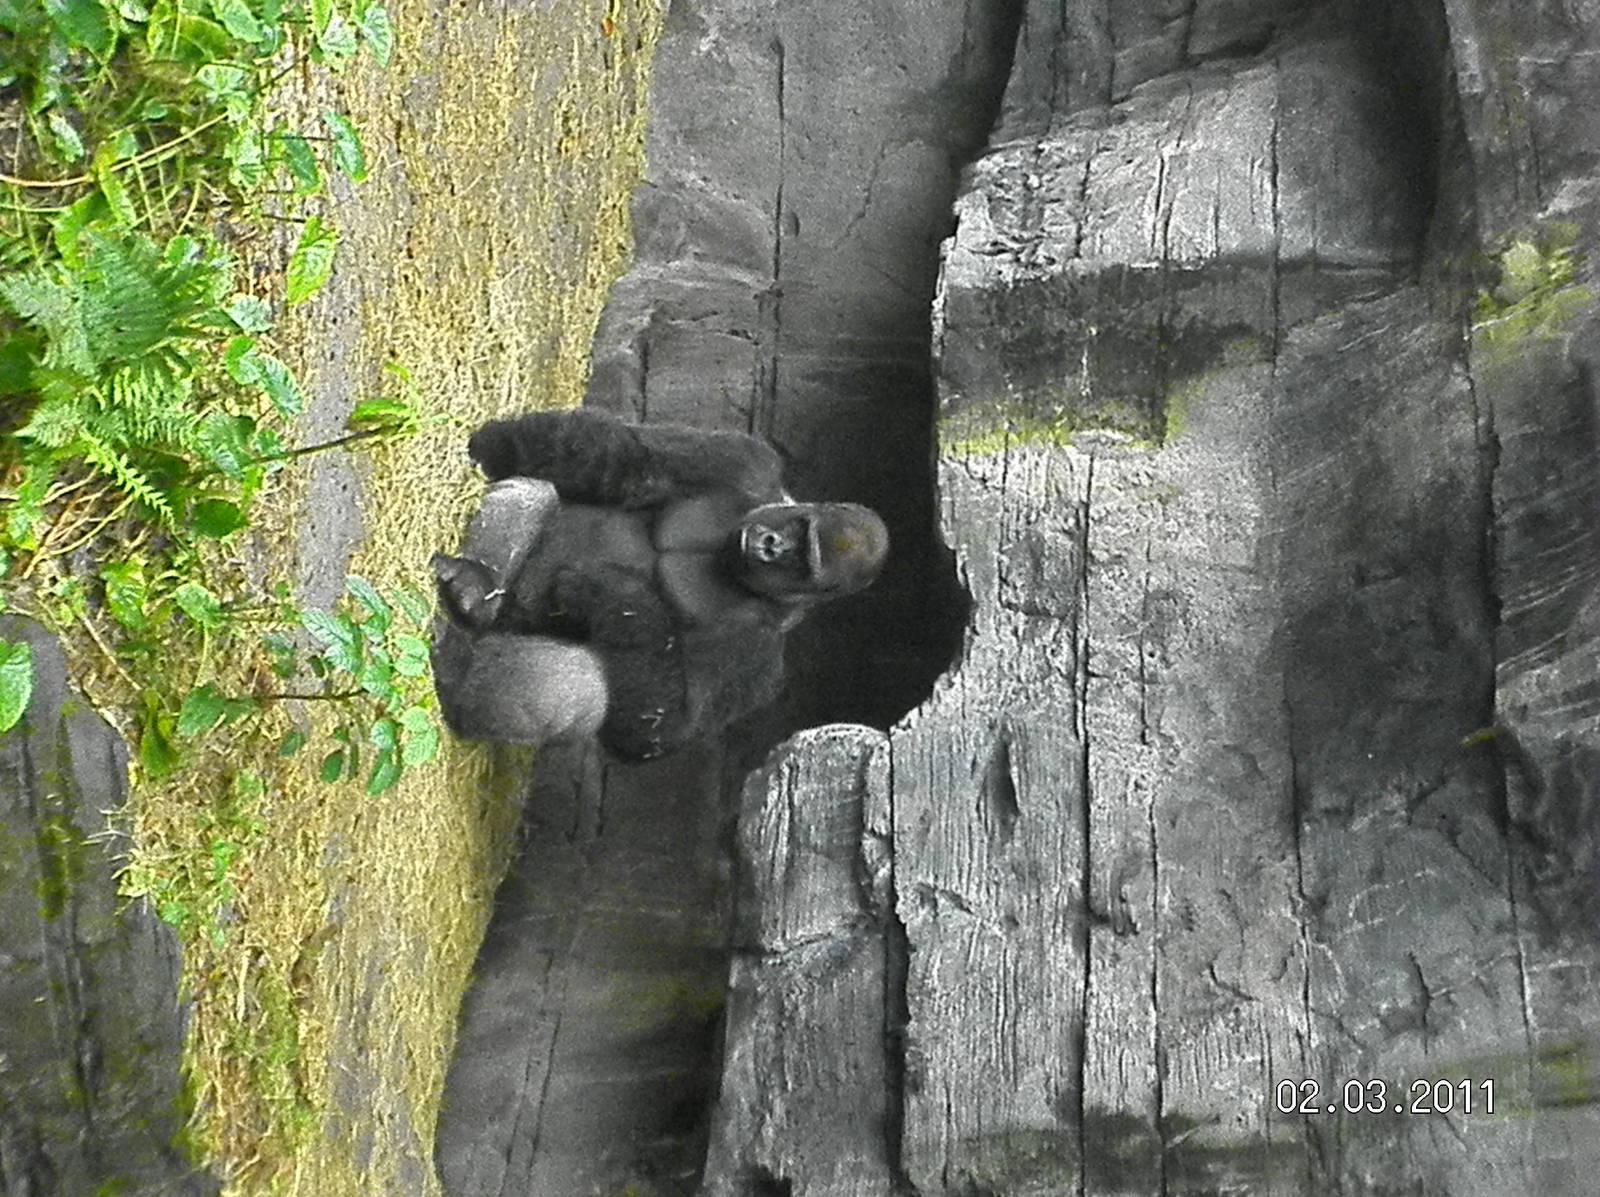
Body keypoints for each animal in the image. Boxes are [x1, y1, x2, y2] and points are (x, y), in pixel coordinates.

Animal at [430, 408, 889, 761]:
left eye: (802, 562)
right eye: (798, 529)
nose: (770, 545)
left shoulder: (758, 655)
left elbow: (659, 725)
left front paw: (608, 590)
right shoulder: (744, 464)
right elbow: (627, 459)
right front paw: (492, 446)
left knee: (587, 685)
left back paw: (460, 669)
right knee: (536, 492)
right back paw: (476, 583)